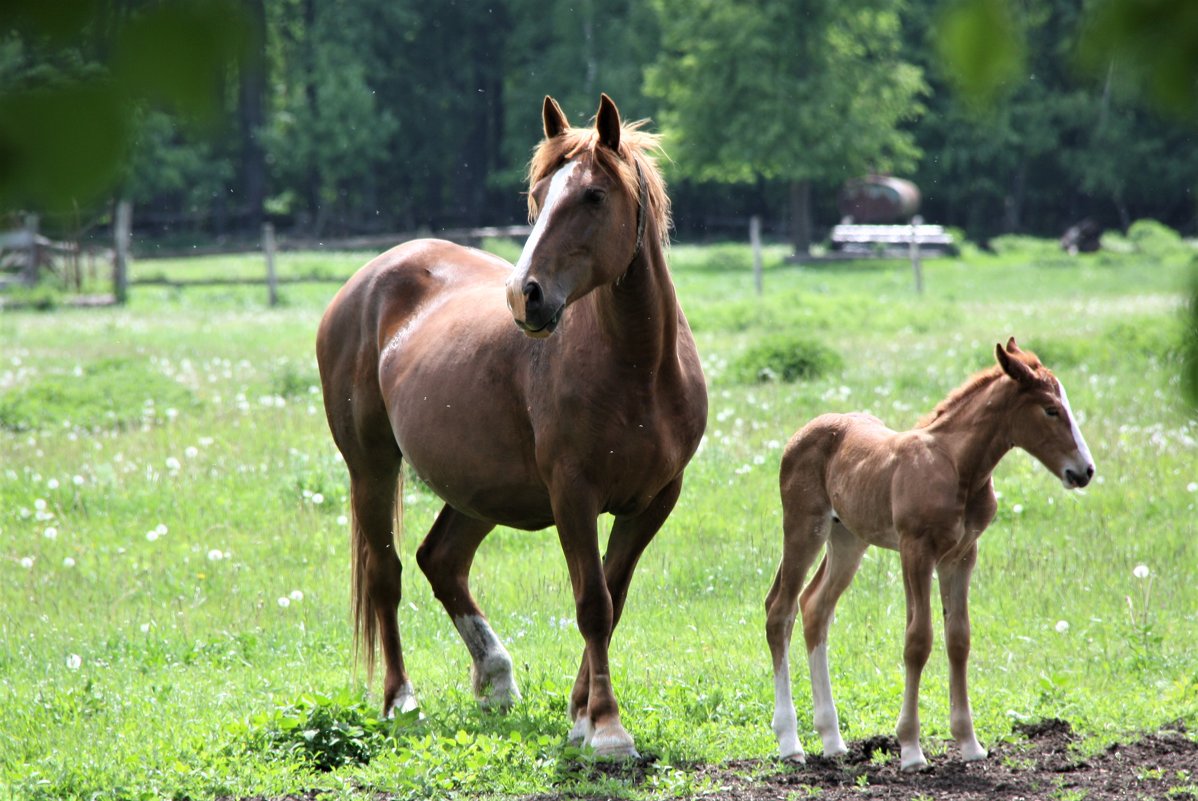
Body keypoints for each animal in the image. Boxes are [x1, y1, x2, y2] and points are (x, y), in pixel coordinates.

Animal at [766, 337, 1097, 766]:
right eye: (1051, 409)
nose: (1085, 471)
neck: (957, 467)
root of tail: (800, 433)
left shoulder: (961, 556)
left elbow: (958, 638)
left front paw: (970, 743)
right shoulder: (916, 551)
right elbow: (918, 639)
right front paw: (910, 748)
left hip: (848, 539)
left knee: (815, 608)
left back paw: (832, 739)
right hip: (805, 527)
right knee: (781, 611)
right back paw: (790, 742)